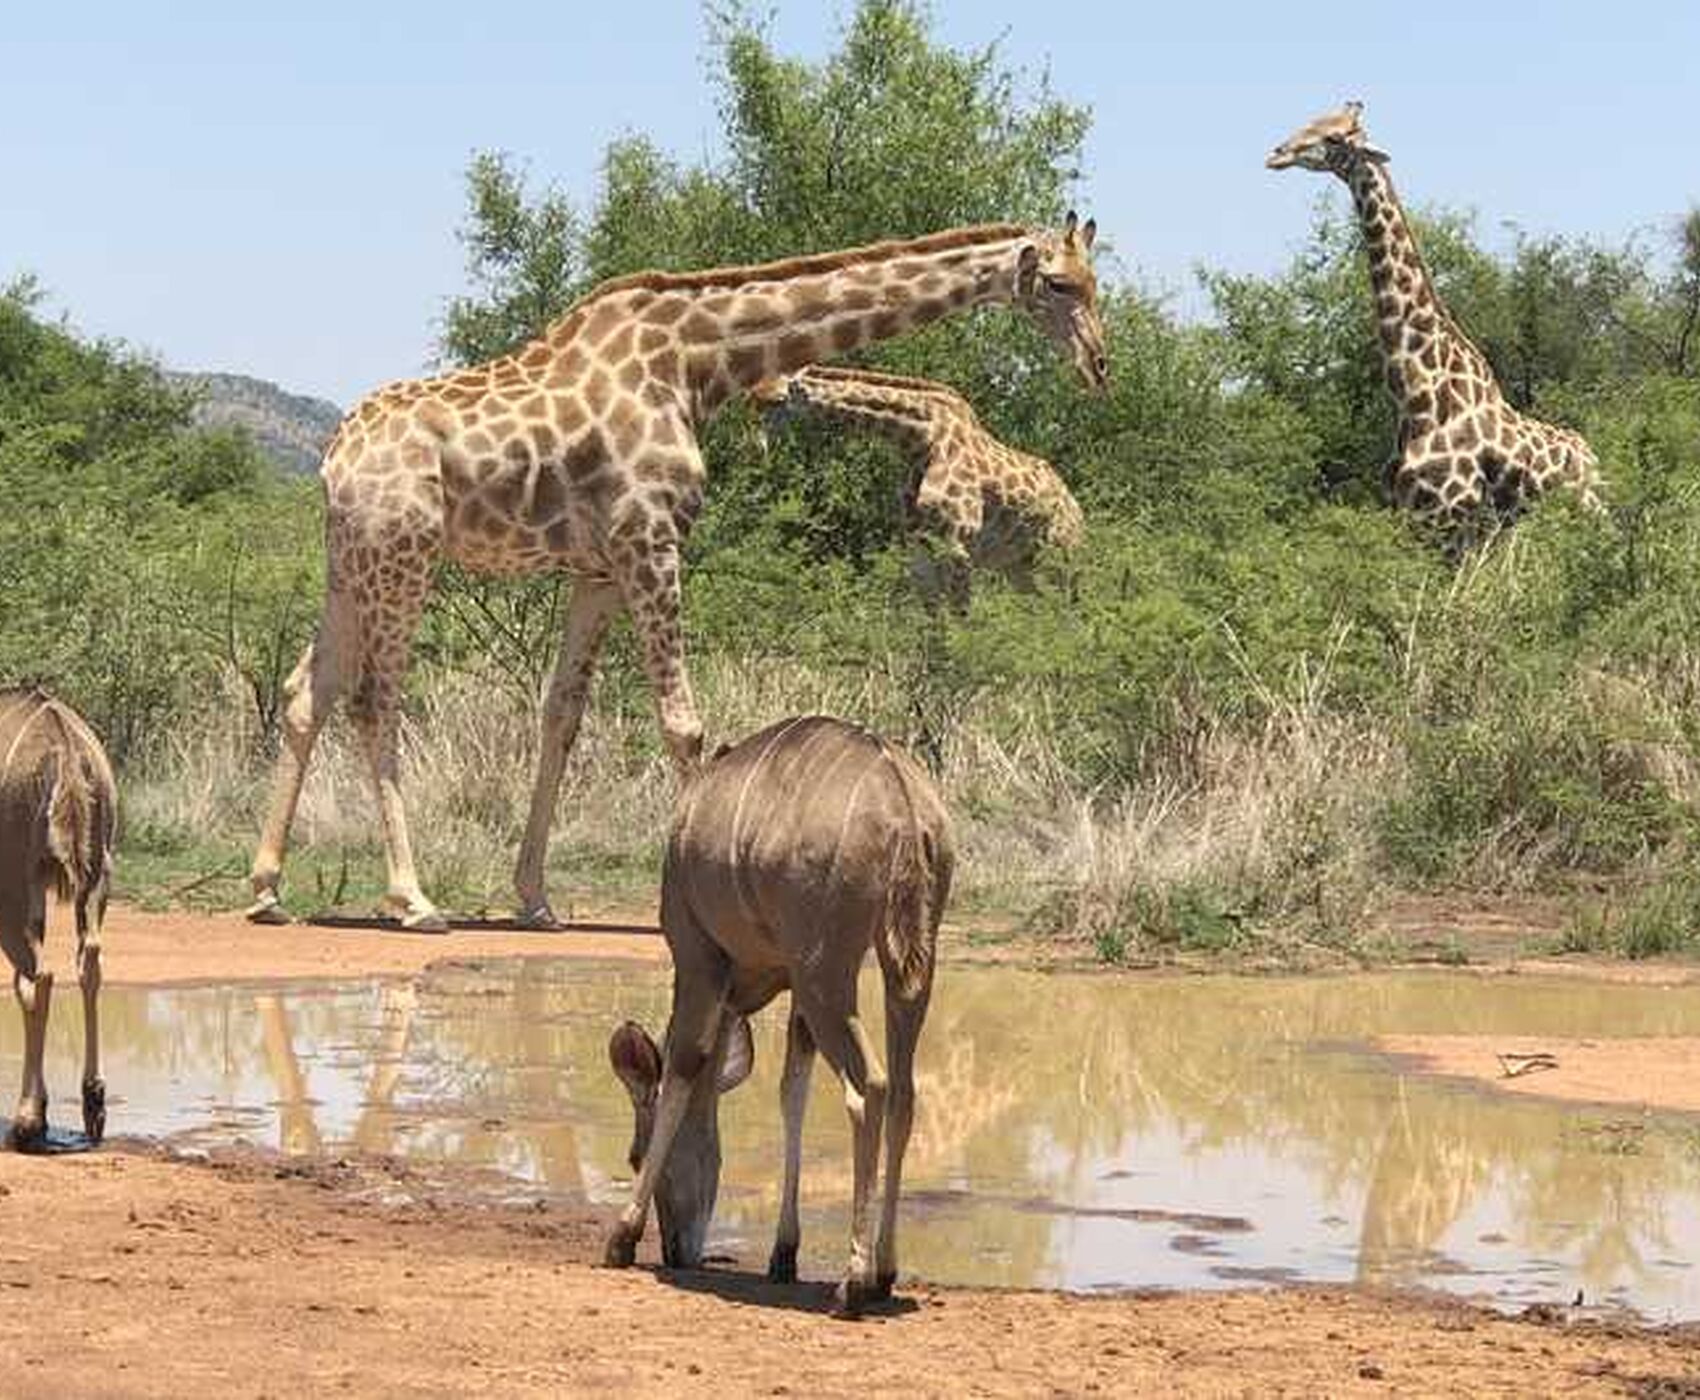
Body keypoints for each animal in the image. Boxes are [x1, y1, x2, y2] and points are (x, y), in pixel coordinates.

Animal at [751, 360, 1081, 608]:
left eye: (778, 401)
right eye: (750, 400)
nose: (759, 448)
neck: (919, 440)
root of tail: (1077, 510)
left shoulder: (958, 543)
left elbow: (961, 622)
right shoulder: (918, 547)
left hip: (1061, 555)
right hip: (1020, 565)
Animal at [1264, 101, 1604, 550]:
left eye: (1335, 137)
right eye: (1314, 119)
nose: (1277, 154)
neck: (1416, 398)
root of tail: (1593, 459)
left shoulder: (1450, 520)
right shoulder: (1408, 514)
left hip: (1585, 513)